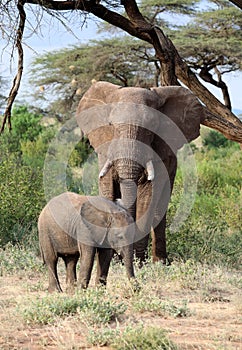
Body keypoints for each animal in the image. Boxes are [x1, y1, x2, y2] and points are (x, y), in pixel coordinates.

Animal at [76, 80, 204, 264]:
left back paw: (160, 262)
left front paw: (138, 262)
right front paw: (113, 260)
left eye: (151, 128)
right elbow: (107, 189)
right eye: (111, 125)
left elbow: (148, 196)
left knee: (160, 210)